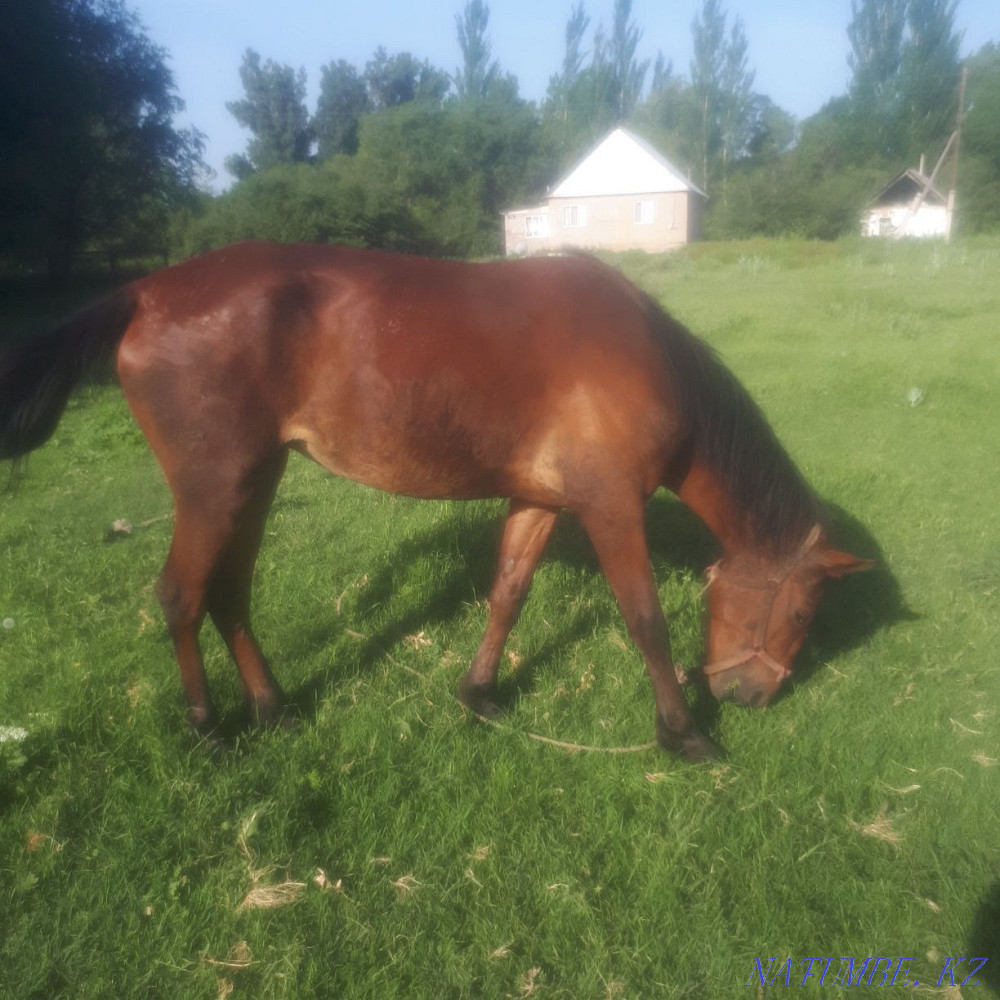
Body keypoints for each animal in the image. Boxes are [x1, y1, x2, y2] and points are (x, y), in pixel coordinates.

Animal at [0, 242, 873, 761]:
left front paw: (479, 694)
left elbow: (508, 595)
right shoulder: (611, 506)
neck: (646, 354)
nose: (750, 696)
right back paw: (208, 728)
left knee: (228, 595)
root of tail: (144, 293)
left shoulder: (539, 499)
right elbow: (646, 621)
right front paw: (684, 732)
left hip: (253, 482)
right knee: (182, 594)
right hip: (215, 487)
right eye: (802, 611)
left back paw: (272, 706)